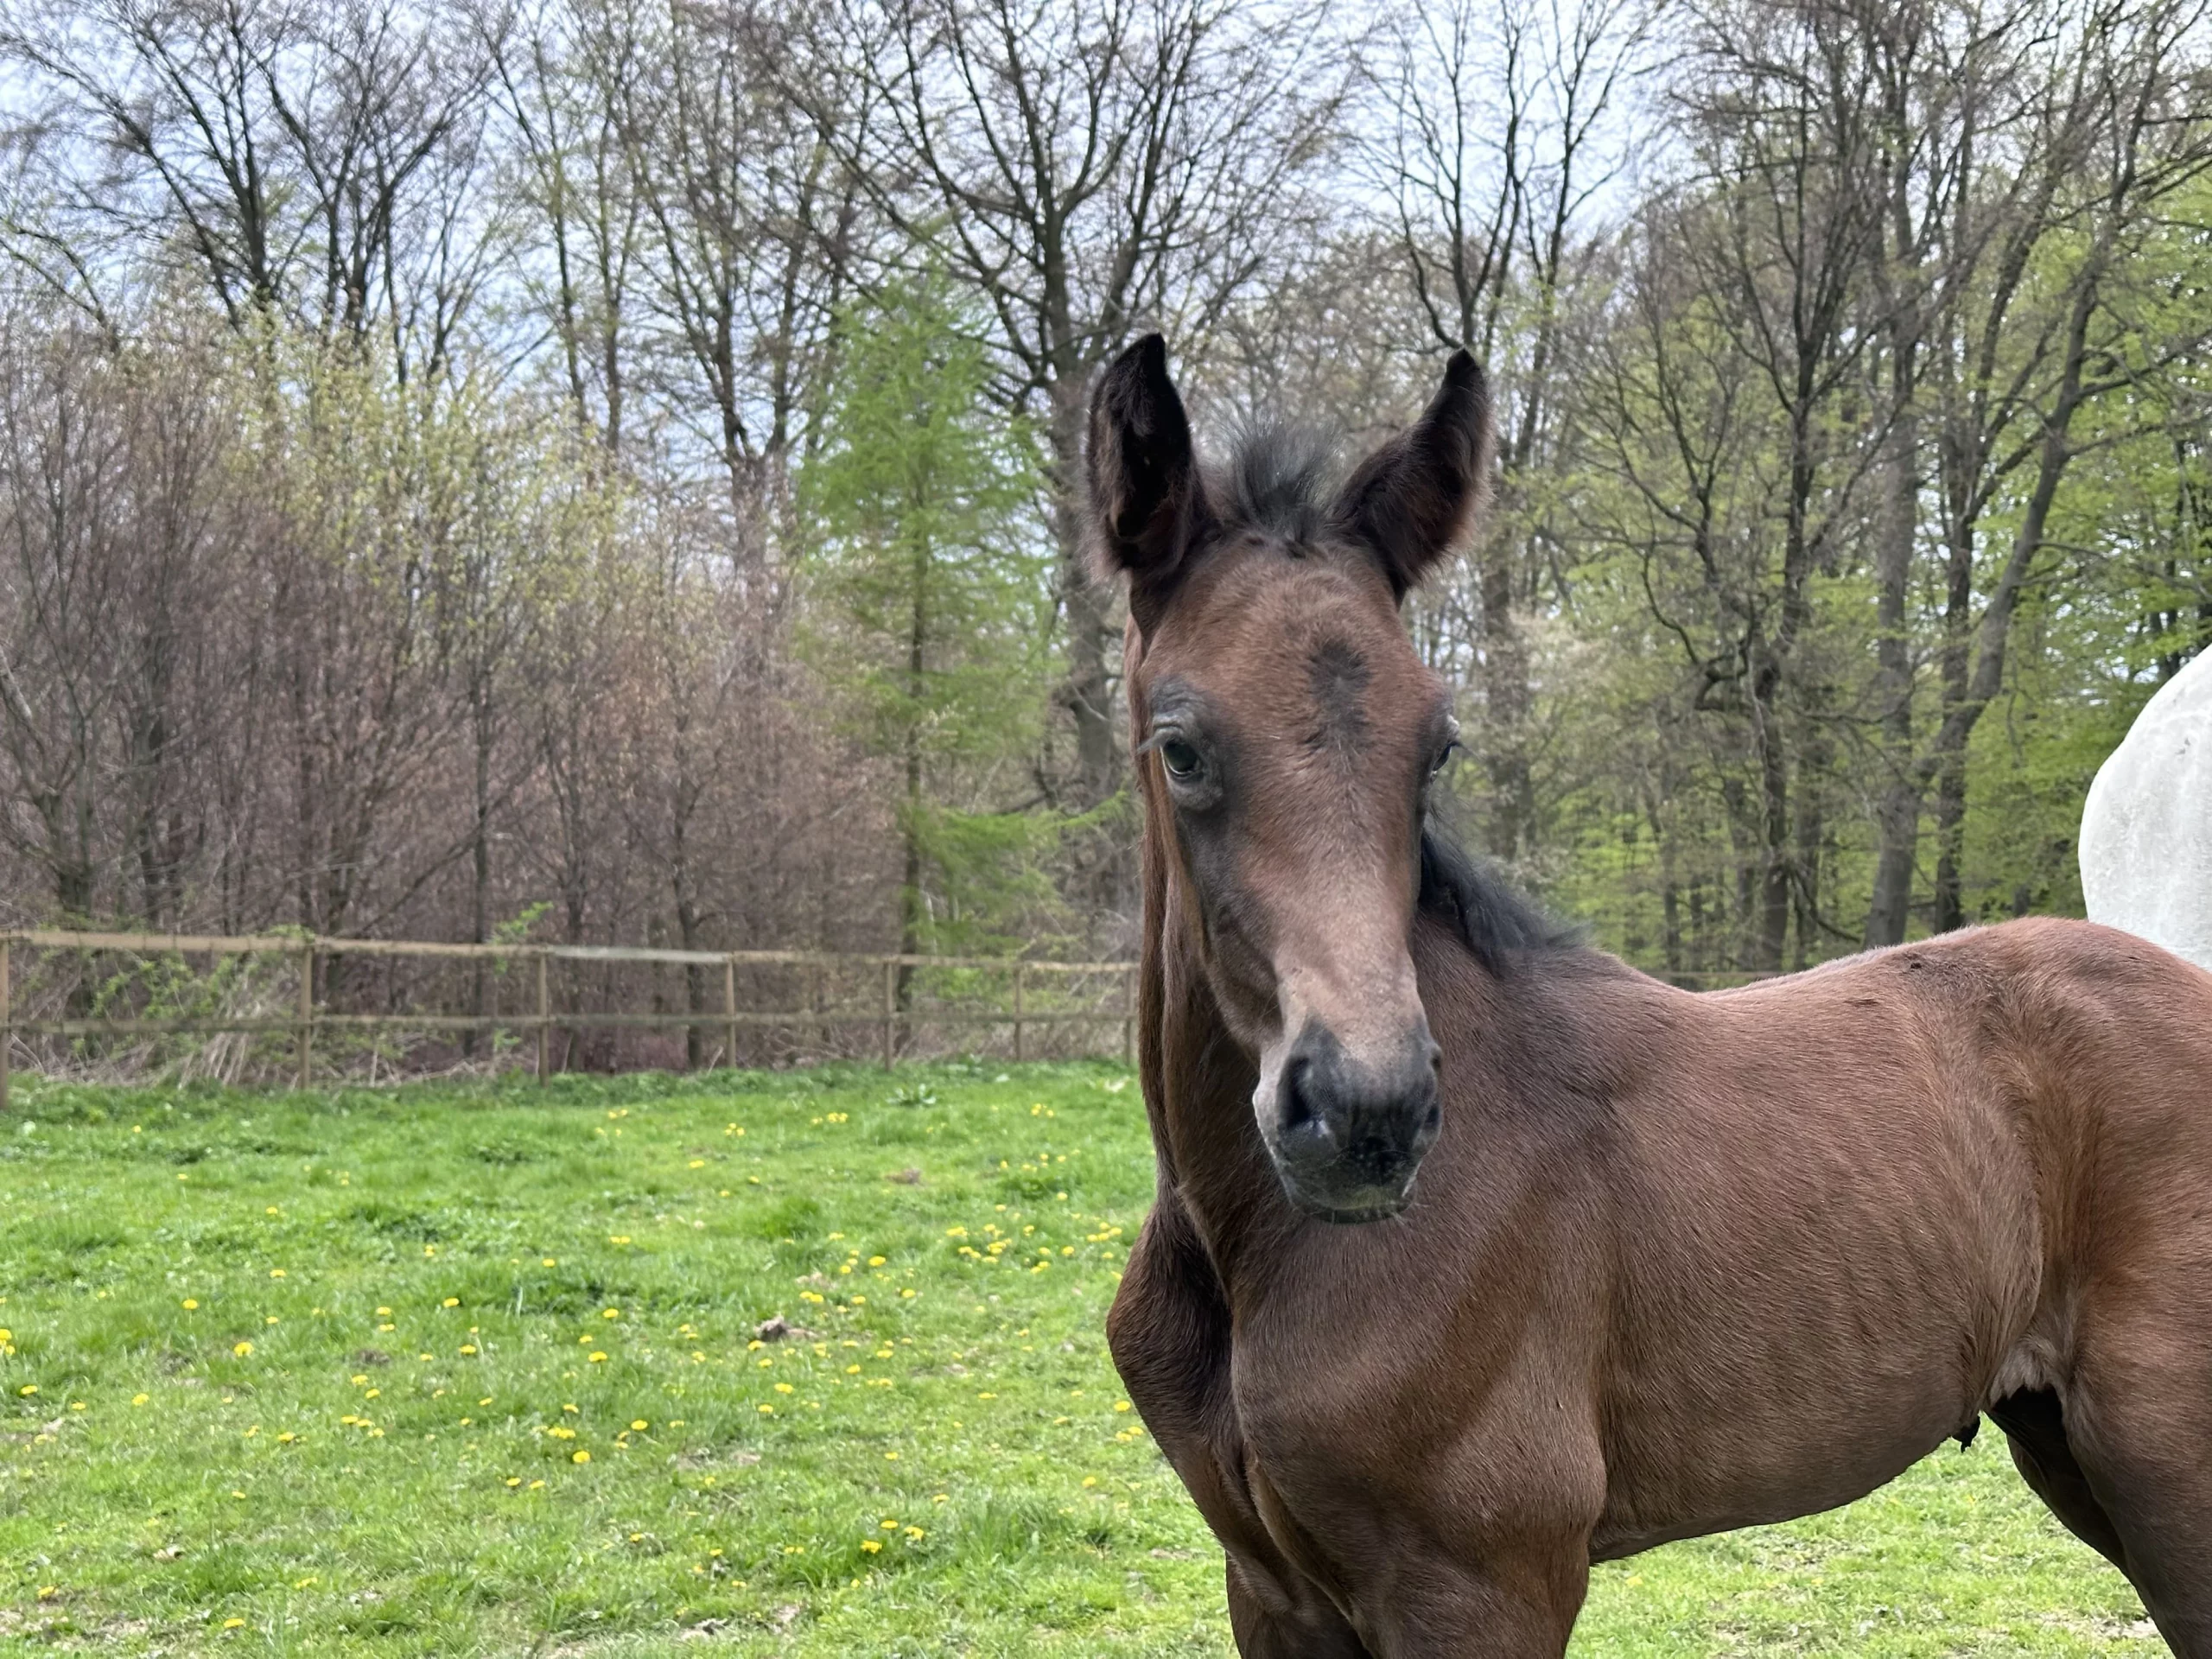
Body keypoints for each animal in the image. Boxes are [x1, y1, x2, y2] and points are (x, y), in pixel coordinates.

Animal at [1088, 333, 2212, 1656]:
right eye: (1181, 746)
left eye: (1437, 746)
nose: (1369, 1116)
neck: (1255, 1253)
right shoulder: (1271, 1591)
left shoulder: (1483, 1583)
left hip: (2166, 1465)